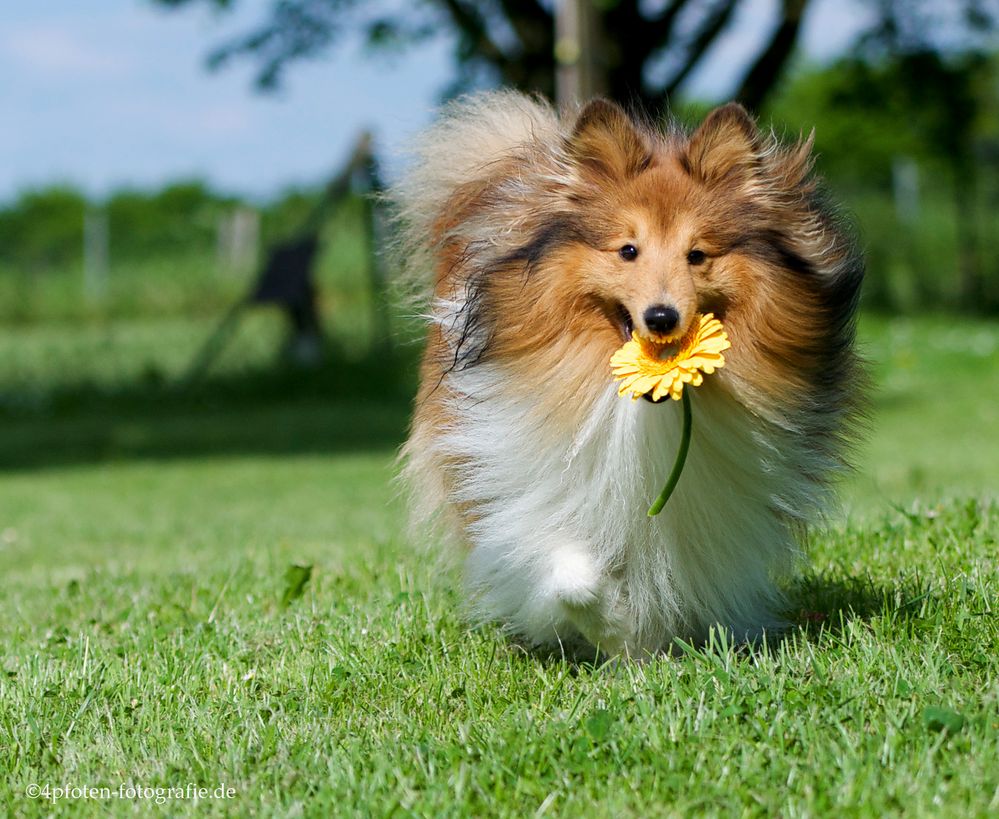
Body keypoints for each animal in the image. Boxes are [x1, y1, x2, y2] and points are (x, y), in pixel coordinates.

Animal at [390, 89, 868, 656]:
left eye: (697, 254)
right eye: (628, 250)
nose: (661, 317)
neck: (639, 411)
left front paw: (651, 640)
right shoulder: (520, 486)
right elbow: (568, 576)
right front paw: (616, 629)